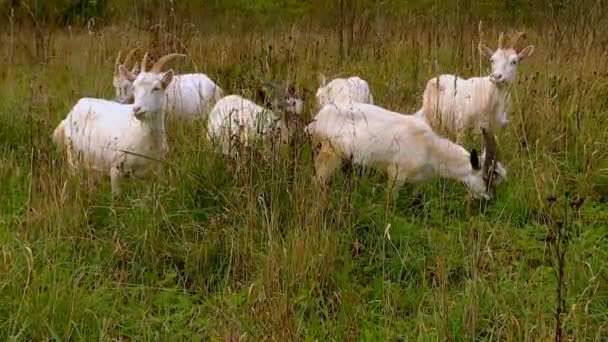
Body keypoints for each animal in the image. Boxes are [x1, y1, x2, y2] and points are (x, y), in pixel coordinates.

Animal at [306, 101, 506, 200]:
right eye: (485, 177)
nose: (490, 198)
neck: (429, 147)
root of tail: (315, 120)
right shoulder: (396, 174)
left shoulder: (418, 183)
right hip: (328, 154)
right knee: (317, 180)